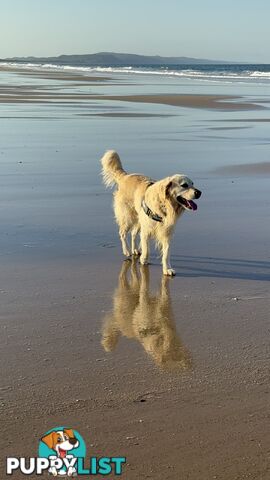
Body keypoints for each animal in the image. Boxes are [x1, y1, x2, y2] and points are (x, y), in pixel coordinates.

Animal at [100, 148, 201, 276]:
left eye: (193, 184)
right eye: (184, 185)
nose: (199, 192)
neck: (165, 205)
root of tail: (125, 176)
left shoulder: (167, 232)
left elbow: (166, 253)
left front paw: (167, 269)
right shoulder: (147, 229)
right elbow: (146, 248)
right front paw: (144, 260)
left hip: (139, 220)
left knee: (133, 233)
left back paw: (134, 249)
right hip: (128, 217)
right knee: (122, 233)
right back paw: (127, 251)